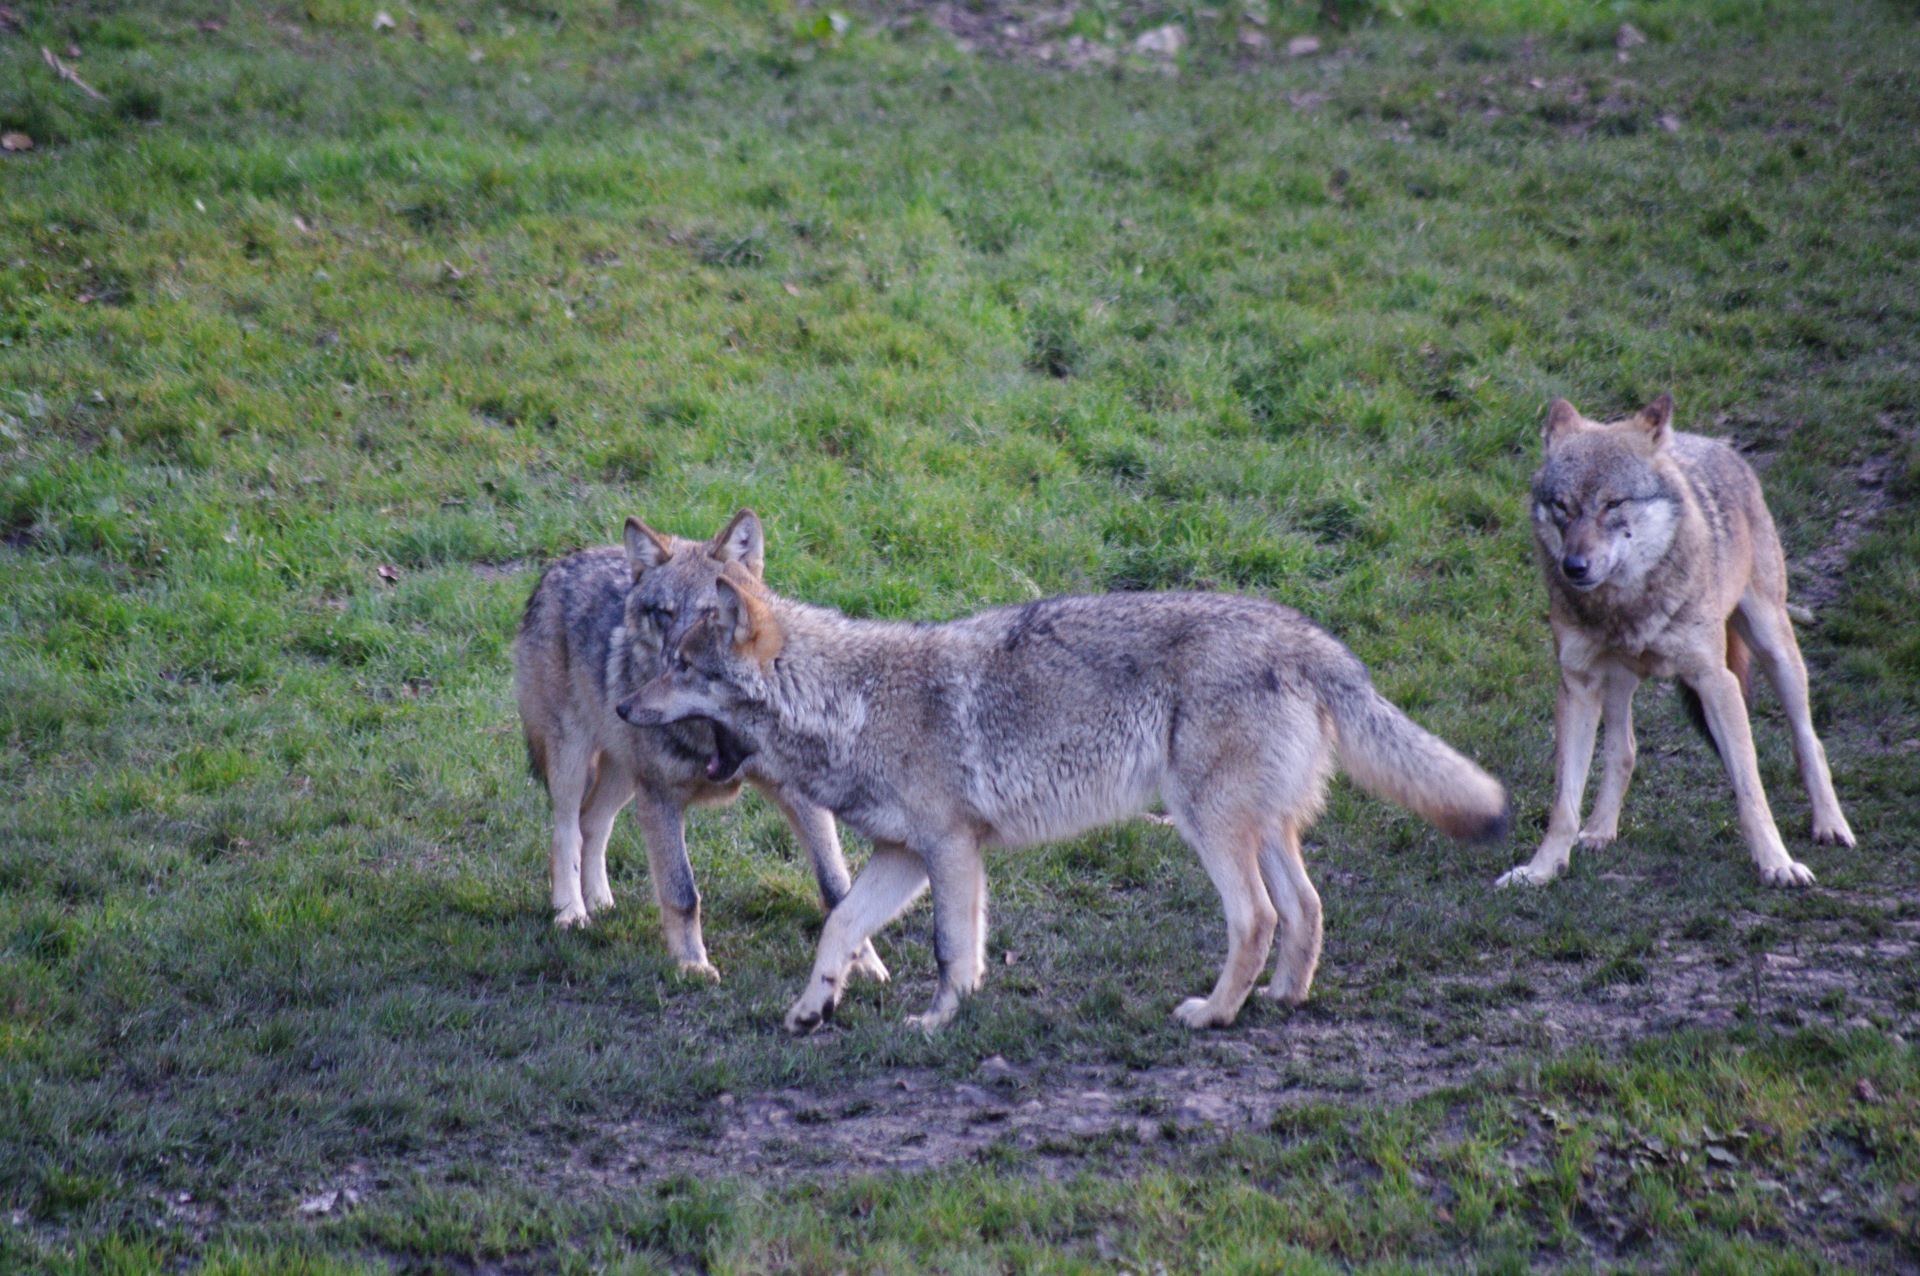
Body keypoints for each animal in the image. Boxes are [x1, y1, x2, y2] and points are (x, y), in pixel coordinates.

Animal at [622, 567, 1505, 1036]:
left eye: (683, 667)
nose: (626, 708)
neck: (851, 704)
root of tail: (1310, 637)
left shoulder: (948, 850)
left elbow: (948, 949)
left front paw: (937, 1023)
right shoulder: (907, 856)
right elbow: (841, 927)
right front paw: (814, 1009)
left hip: (1208, 826)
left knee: (1256, 917)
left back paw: (1212, 1014)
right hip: (1261, 830)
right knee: (1308, 907)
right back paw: (1282, 998)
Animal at [1489, 393, 1850, 890]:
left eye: (1613, 503)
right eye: (1562, 506)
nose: (1573, 567)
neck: (1625, 604)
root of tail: (1712, 443)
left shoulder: (1714, 680)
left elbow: (1751, 789)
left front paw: (1777, 864)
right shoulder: (1577, 685)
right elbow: (1564, 801)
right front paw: (1542, 869)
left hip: (1775, 649)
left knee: (1808, 739)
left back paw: (1831, 825)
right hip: (1617, 681)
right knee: (1625, 750)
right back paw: (1600, 831)